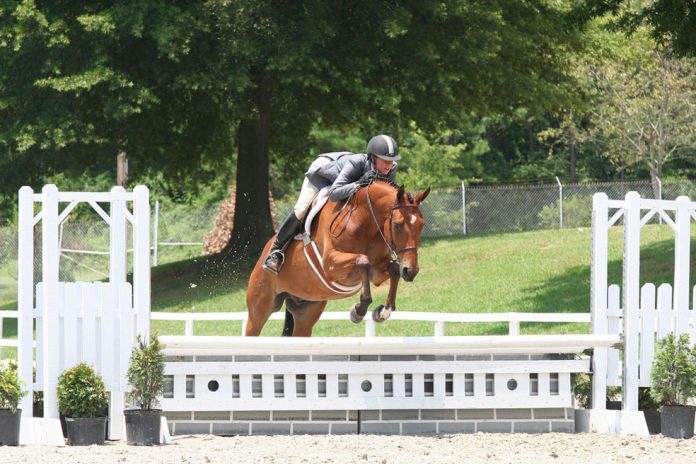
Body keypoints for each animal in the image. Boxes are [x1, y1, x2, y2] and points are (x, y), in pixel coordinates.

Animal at [245, 180, 430, 336]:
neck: (364, 222)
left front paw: (383, 312)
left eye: (422, 225)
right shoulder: (331, 266)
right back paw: (273, 260)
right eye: (397, 225)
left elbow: (393, 270)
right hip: (260, 308)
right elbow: (363, 260)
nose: (411, 271)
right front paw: (358, 310)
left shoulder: (377, 271)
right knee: (252, 328)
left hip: (306, 311)